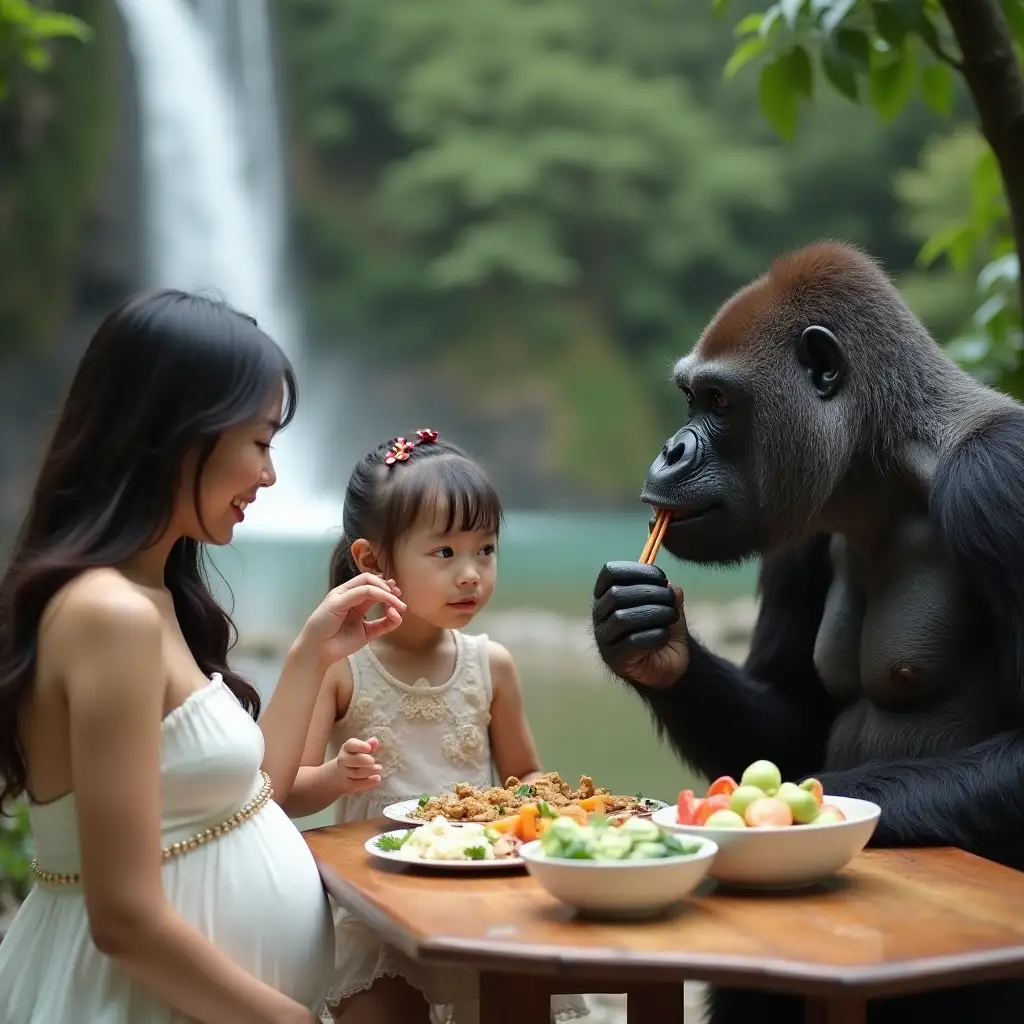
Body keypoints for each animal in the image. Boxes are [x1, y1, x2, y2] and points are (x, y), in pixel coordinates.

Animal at [593, 241, 1024, 1024]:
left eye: (719, 401)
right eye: (690, 397)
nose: (671, 451)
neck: (891, 465)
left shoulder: (1000, 480)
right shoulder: (803, 521)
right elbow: (789, 723)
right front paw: (650, 642)